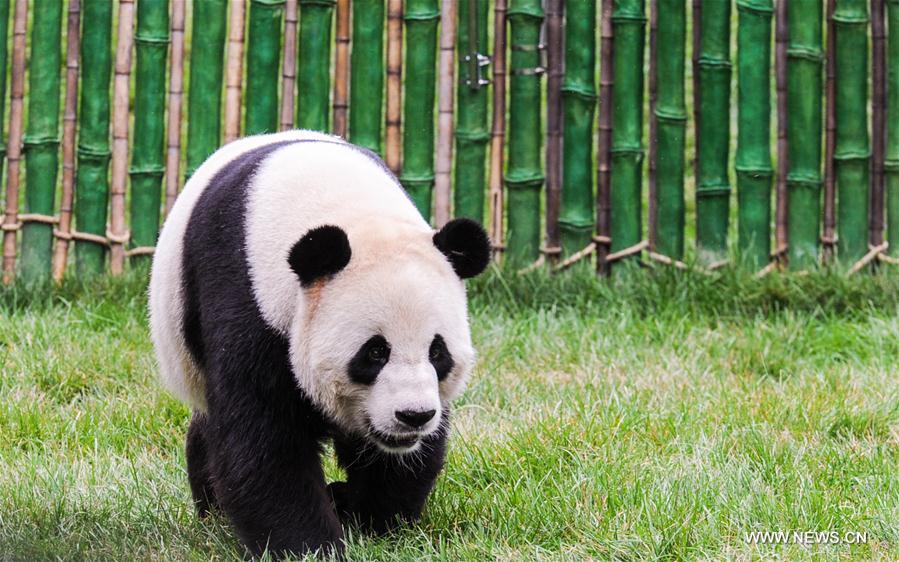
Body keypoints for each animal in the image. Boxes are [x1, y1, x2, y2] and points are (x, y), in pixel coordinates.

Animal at [148, 130, 491, 558]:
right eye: (375, 352)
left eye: (437, 352)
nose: (413, 416)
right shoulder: (248, 298)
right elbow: (264, 439)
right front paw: (309, 546)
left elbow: (397, 458)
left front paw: (373, 519)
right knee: (209, 429)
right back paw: (213, 511)